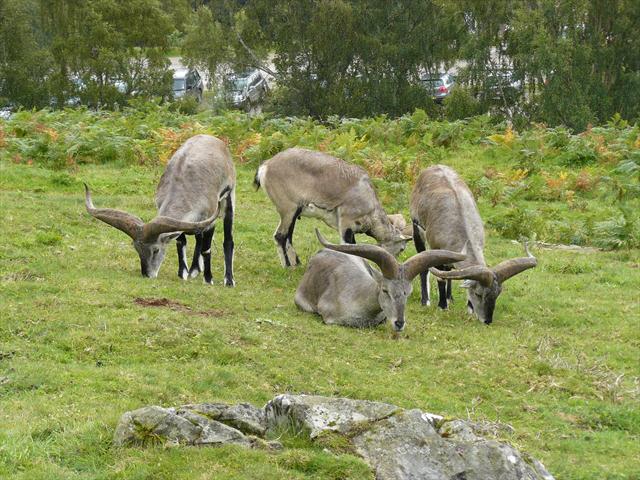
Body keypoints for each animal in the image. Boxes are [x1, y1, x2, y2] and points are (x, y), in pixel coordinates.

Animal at [84, 134, 236, 284]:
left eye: (156, 250)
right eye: (137, 248)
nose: (147, 275)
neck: (186, 186)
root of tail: (214, 139)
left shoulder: (210, 219)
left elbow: (207, 249)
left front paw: (208, 280)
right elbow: (181, 241)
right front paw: (183, 273)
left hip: (229, 197)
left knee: (227, 239)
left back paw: (228, 280)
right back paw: (194, 270)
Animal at [255, 148, 410, 266]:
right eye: (402, 248)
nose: (394, 262)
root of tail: (266, 166)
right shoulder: (346, 223)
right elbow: (348, 246)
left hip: (293, 213)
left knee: (288, 236)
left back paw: (297, 263)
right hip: (288, 209)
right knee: (280, 236)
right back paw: (288, 266)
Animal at [410, 163, 536, 324]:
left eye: (497, 294)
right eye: (478, 294)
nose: (487, 320)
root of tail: (434, 167)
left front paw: (468, 308)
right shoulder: (436, 247)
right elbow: (440, 276)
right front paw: (442, 306)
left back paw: (450, 298)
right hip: (417, 228)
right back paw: (426, 301)